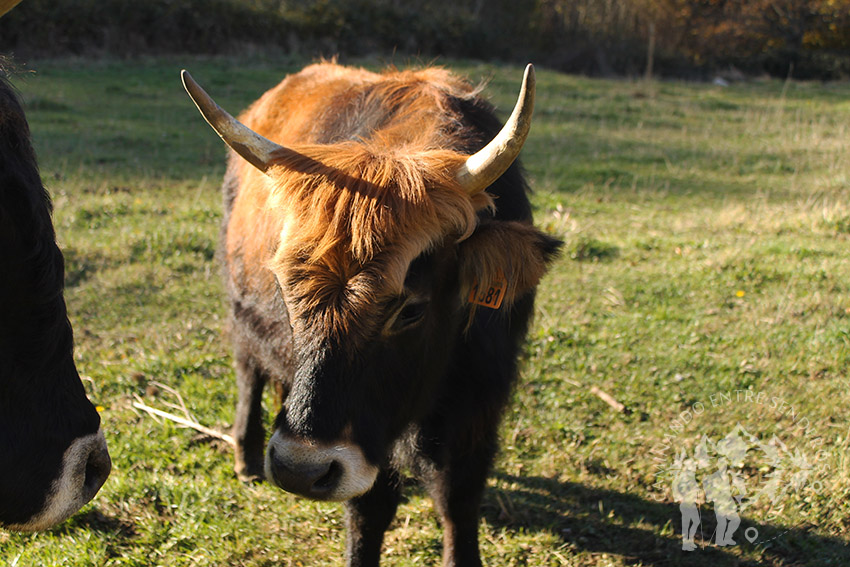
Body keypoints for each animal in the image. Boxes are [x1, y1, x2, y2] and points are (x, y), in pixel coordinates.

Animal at [182, 64, 560, 564]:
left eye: (411, 310)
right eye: (286, 290)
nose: (298, 468)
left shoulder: (479, 401)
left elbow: (459, 499)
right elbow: (369, 511)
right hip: (241, 312)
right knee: (249, 372)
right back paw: (246, 457)